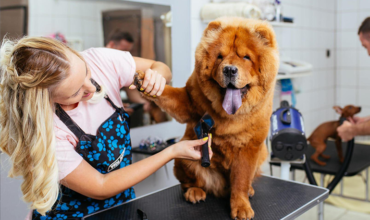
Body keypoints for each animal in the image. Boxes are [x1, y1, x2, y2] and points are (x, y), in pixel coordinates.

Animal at [133, 16, 278, 218]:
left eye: (246, 57)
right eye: (220, 56)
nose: (230, 70)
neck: (229, 114)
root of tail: (221, 188)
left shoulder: (249, 148)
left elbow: (241, 179)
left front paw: (241, 206)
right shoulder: (188, 100)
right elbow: (168, 93)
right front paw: (146, 81)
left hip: (261, 153)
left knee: (244, 181)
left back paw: (248, 190)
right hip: (184, 159)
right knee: (190, 182)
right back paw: (194, 192)